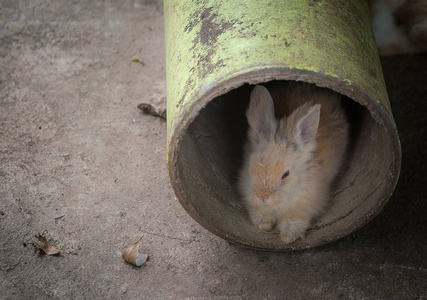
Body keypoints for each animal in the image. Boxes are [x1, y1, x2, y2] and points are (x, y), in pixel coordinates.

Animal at [239, 82, 350, 244]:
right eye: (250, 167)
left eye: (285, 174)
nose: (263, 197)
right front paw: (264, 225)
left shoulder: (306, 204)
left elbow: (295, 219)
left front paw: (287, 236)